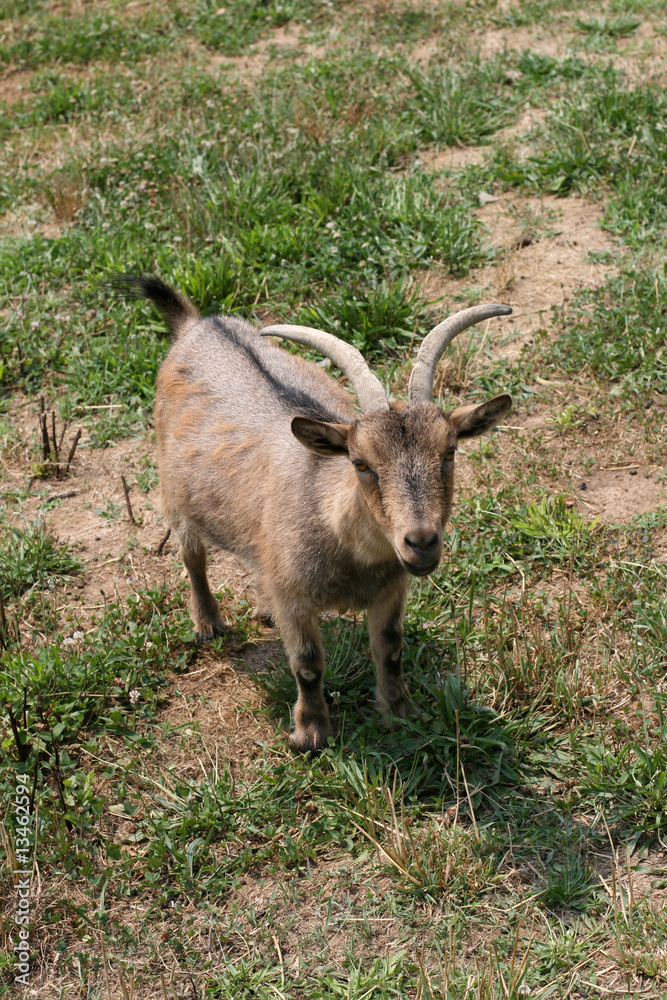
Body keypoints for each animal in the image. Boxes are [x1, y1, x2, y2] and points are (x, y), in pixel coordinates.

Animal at [119, 276, 512, 752]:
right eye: (361, 463)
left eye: (450, 452)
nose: (421, 543)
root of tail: (197, 324)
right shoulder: (296, 599)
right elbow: (307, 664)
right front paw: (310, 735)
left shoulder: (390, 591)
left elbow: (391, 649)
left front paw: (399, 712)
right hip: (175, 497)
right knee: (192, 558)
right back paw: (208, 624)